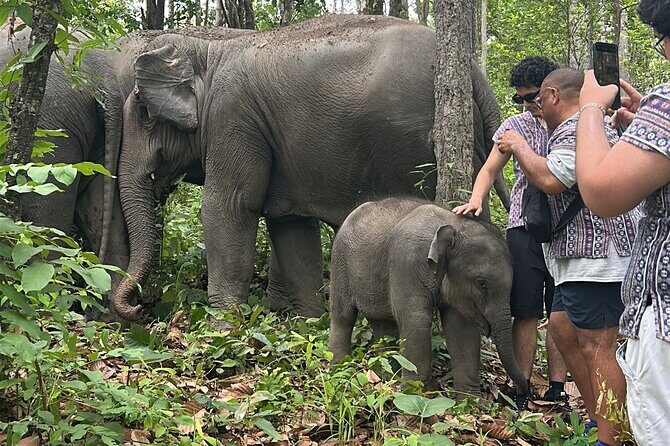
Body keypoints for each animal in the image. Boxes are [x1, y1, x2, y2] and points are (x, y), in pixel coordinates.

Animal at [110, 14, 510, 321]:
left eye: (144, 113)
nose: (138, 308)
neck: (209, 51)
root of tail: (474, 72)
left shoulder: (234, 117)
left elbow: (228, 206)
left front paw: (223, 325)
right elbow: (291, 227)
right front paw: (308, 323)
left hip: (413, 148)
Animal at [328, 197, 528, 398]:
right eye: (482, 283)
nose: (523, 390)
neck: (453, 225)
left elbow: (462, 329)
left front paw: (470, 401)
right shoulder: (405, 262)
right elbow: (416, 320)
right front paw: (414, 393)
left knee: (384, 325)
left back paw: (383, 378)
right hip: (339, 261)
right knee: (343, 316)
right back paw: (339, 369)